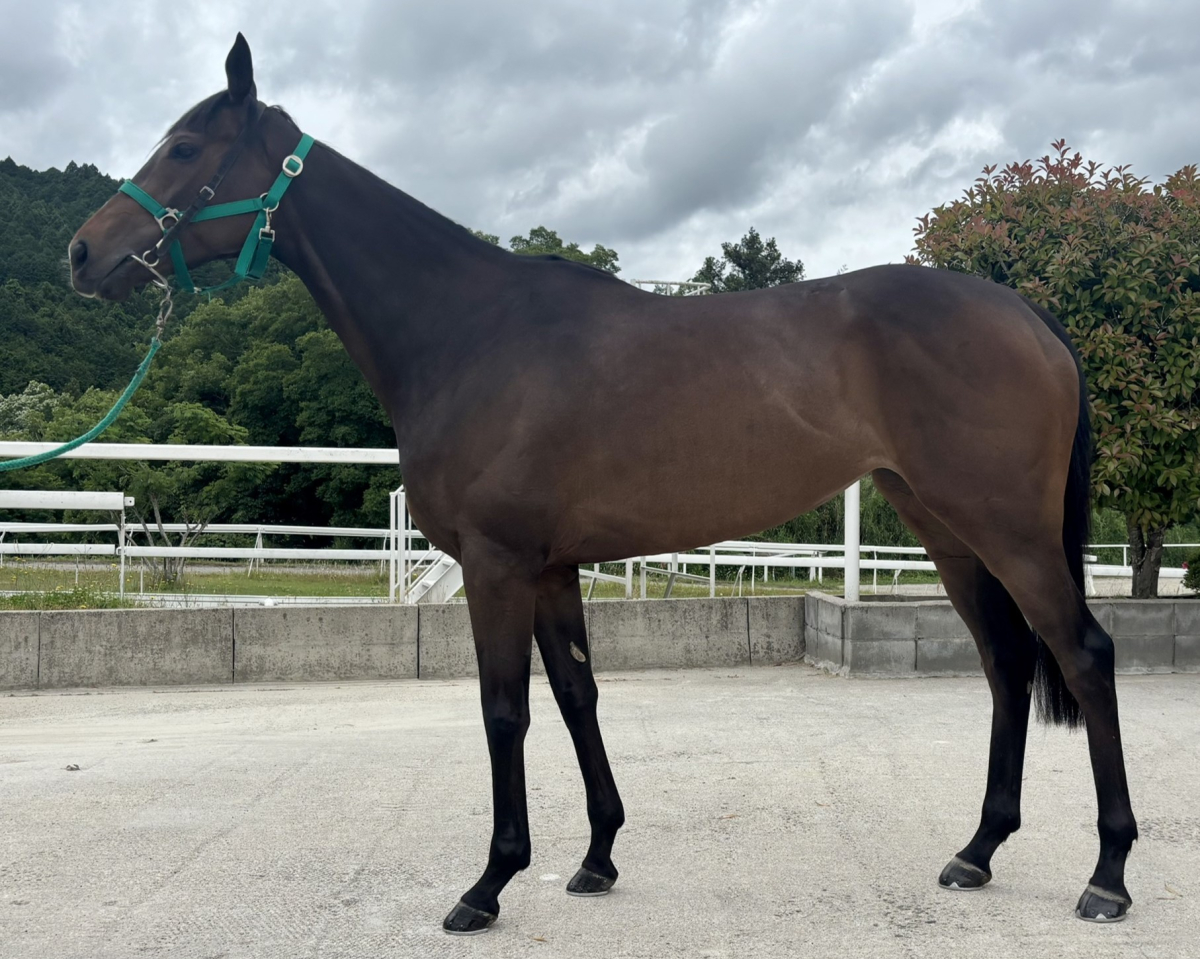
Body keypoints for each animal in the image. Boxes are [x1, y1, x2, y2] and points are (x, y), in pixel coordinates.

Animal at [69, 34, 1137, 935]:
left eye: (184, 145)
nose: (83, 253)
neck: (468, 330)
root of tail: (1031, 316)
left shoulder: (498, 565)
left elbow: (505, 709)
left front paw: (489, 882)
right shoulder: (551, 567)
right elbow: (579, 693)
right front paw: (595, 856)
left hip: (1009, 531)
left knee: (1081, 653)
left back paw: (1108, 874)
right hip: (947, 528)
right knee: (1007, 664)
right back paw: (978, 849)